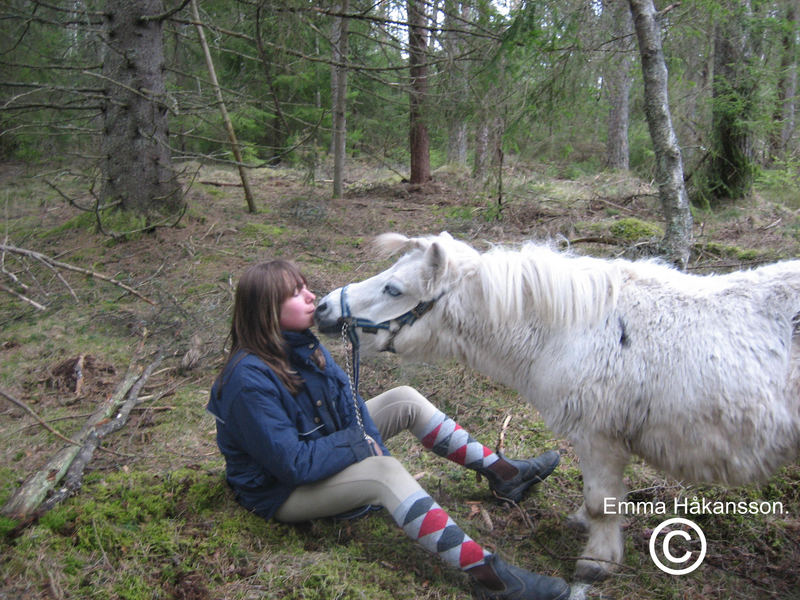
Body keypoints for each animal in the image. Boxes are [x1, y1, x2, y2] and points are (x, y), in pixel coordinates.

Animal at [316, 233, 800, 580]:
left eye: (393, 288)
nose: (322, 307)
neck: (577, 332)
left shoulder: (599, 437)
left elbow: (602, 500)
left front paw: (599, 561)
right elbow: (597, 500)